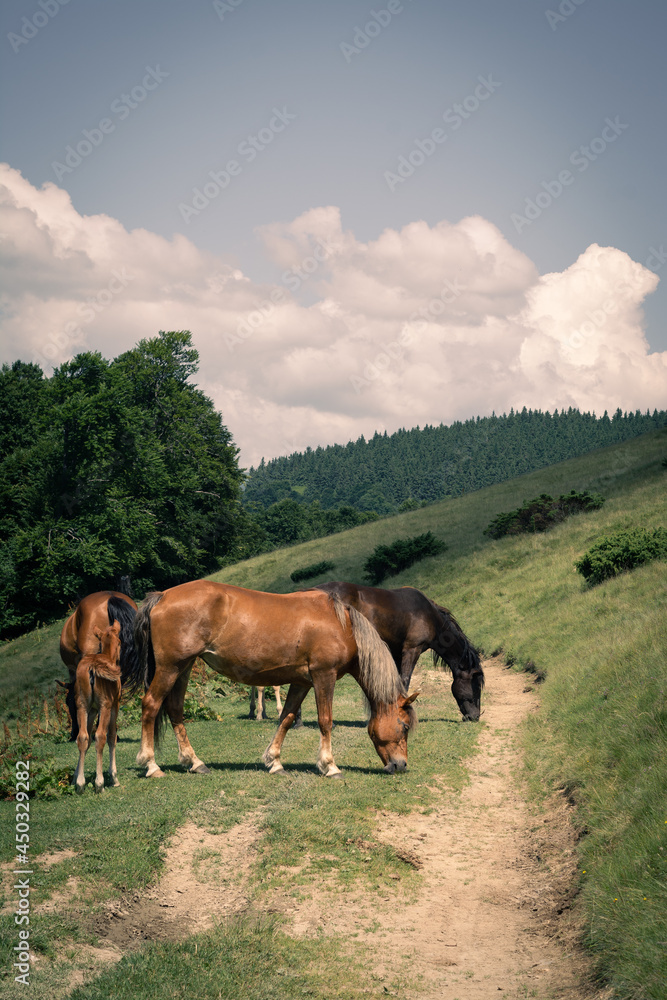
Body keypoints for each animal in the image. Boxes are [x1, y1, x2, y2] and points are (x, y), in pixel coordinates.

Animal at [72, 621, 122, 794]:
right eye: (120, 641)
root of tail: (92, 667)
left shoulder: (92, 710)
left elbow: (85, 740)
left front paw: (76, 777)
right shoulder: (114, 705)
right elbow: (112, 736)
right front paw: (113, 777)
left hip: (81, 705)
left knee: (82, 736)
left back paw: (80, 784)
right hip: (105, 706)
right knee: (100, 736)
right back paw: (100, 783)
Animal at [130, 580, 418, 779]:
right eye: (404, 726)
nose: (401, 765)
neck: (342, 625)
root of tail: (162, 596)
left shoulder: (302, 682)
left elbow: (287, 718)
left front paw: (274, 761)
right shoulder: (324, 676)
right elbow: (325, 721)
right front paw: (330, 766)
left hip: (184, 668)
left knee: (175, 709)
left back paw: (194, 762)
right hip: (170, 668)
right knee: (151, 705)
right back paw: (151, 765)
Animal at [313, 583, 484, 721]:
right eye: (476, 688)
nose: (474, 717)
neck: (429, 615)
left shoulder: (396, 653)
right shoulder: (411, 650)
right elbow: (404, 680)